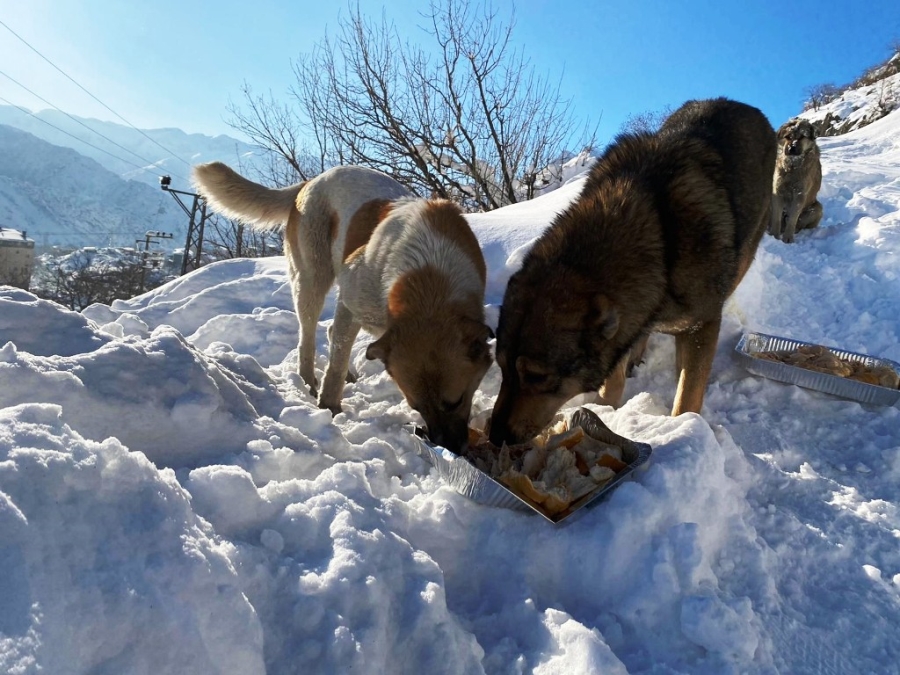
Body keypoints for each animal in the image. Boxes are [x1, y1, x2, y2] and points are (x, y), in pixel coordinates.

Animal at [191, 161, 496, 452]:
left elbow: (339, 348)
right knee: (308, 338)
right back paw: (308, 382)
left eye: (456, 401)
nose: (451, 448)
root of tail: (310, 182)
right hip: (312, 280)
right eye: (416, 407)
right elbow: (335, 362)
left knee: (328, 333)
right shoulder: (352, 299)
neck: (427, 278)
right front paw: (329, 407)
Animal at [488, 96, 776, 444]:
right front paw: (605, 409)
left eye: (536, 376)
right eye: (501, 367)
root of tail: (741, 104)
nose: (494, 436)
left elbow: (688, 394)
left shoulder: (702, 323)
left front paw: (685, 429)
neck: (660, 235)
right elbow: (613, 376)